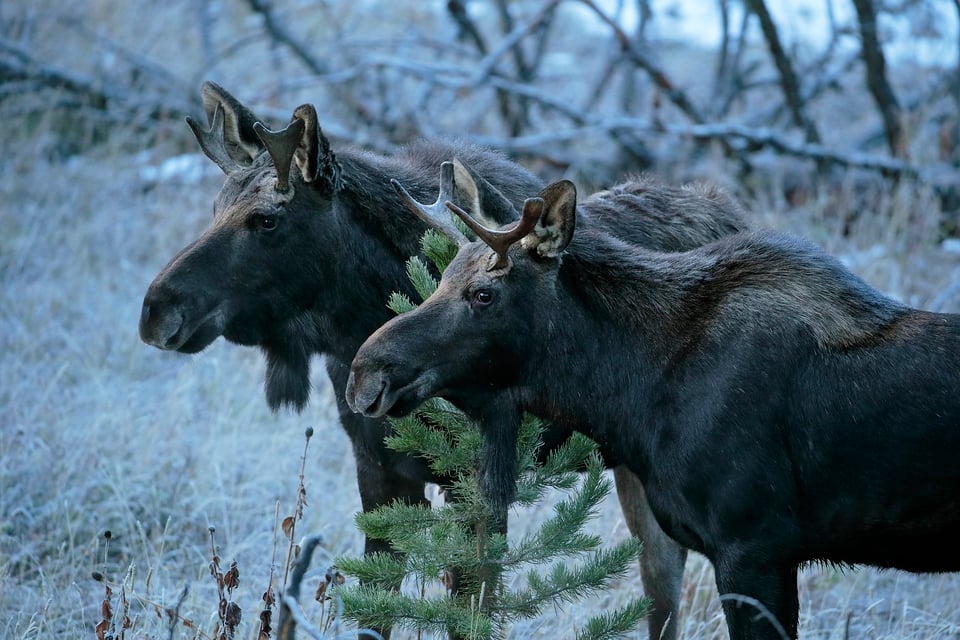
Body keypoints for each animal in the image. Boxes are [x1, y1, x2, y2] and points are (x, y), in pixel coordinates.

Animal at [137, 82, 752, 636]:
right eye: (215, 206)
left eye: (267, 219)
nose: (155, 311)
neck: (356, 324)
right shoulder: (380, 471)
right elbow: (378, 609)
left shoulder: (477, 484)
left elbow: (470, 613)